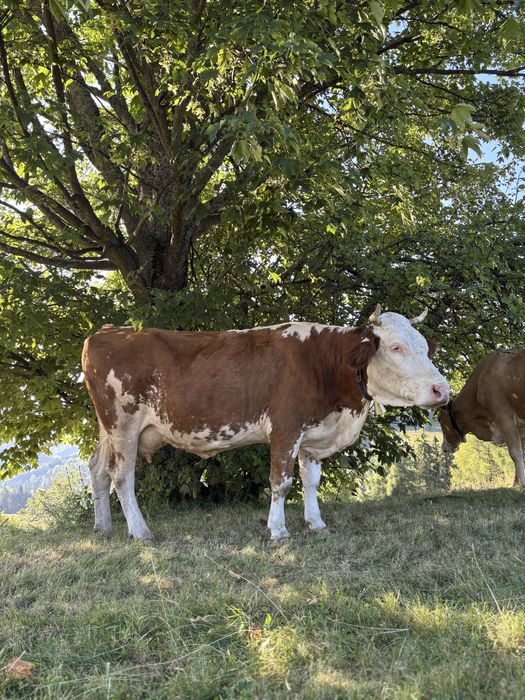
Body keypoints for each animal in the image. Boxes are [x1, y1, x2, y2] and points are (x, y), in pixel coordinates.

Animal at [82, 304, 449, 541]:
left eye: (424, 347)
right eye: (396, 347)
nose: (442, 389)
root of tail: (108, 331)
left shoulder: (312, 435)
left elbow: (311, 481)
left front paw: (316, 523)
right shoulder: (286, 429)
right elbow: (282, 482)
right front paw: (278, 530)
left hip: (108, 428)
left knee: (98, 468)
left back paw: (103, 528)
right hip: (123, 424)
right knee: (121, 475)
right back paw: (140, 531)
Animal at [438, 350, 525, 487]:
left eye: (439, 419)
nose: (443, 448)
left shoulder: (505, 419)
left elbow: (515, 453)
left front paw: (520, 484)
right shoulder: (521, 428)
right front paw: (516, 483)